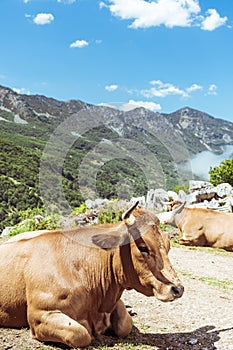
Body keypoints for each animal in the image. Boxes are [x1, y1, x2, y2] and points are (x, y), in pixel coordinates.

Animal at [0, 202, 184, 348]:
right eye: (143, 247)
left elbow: (125, 325)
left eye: (168, 245)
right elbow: (80, 334)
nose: (178, 289)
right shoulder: (39, 314)